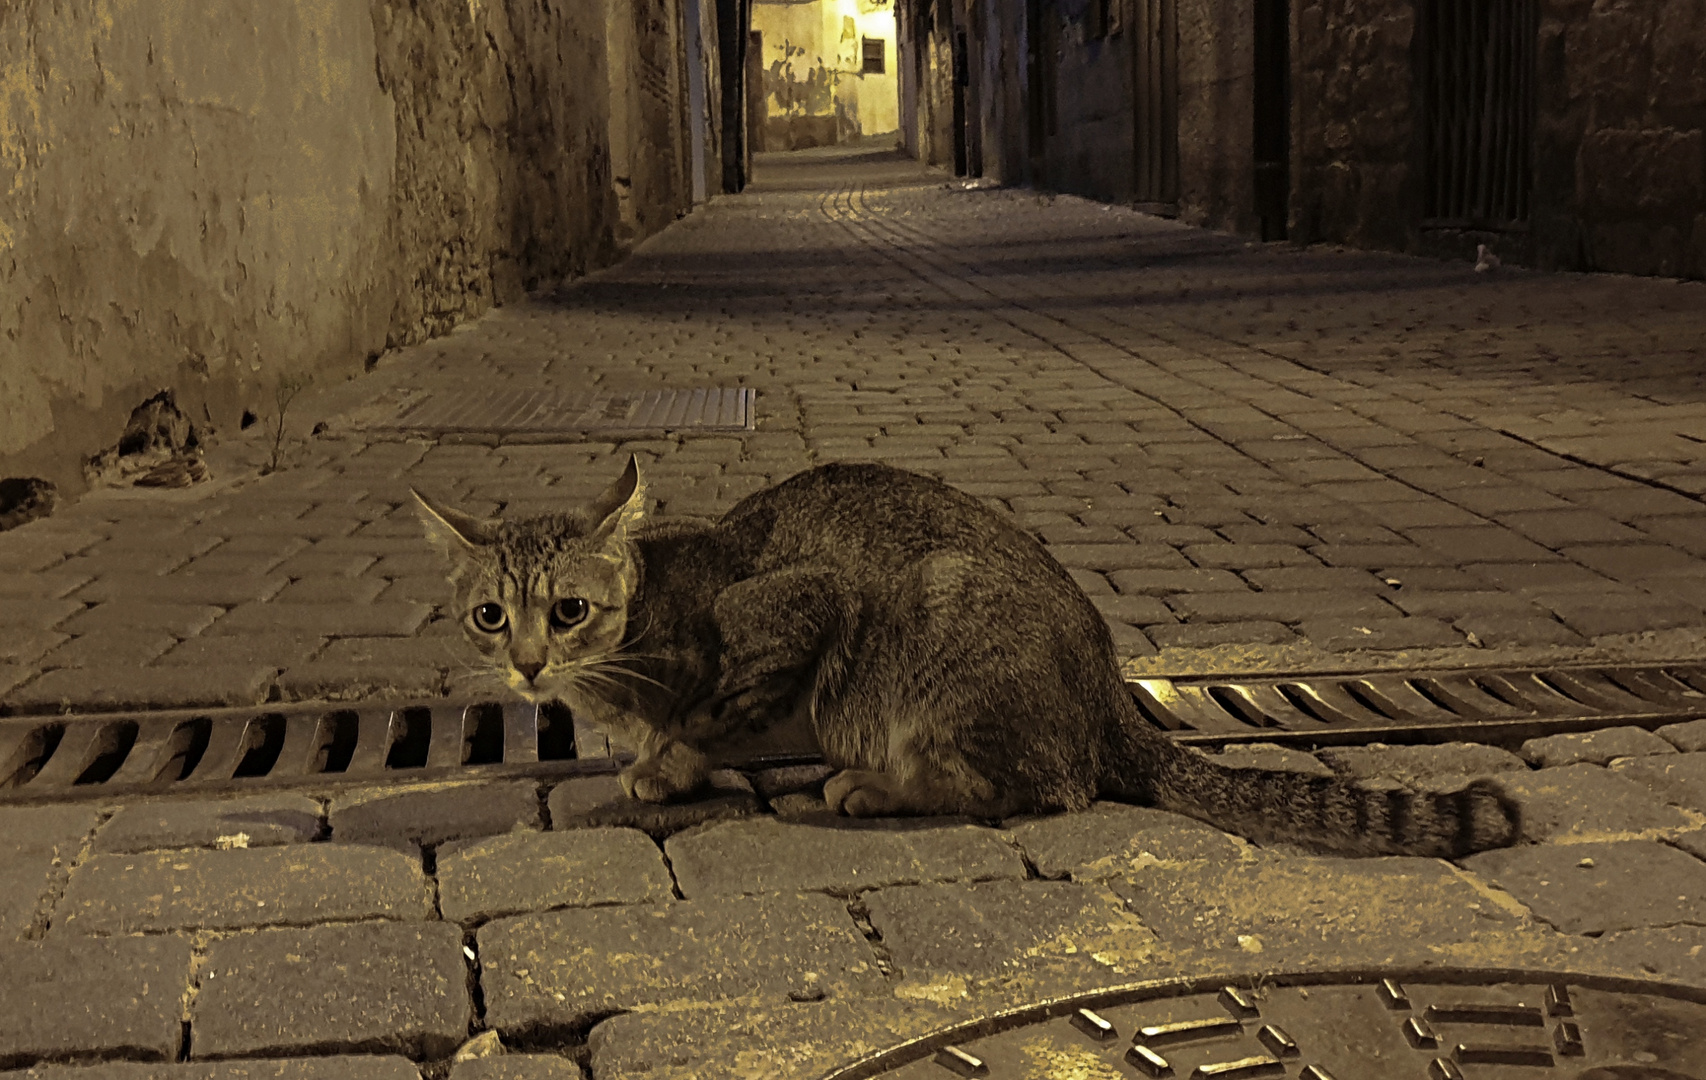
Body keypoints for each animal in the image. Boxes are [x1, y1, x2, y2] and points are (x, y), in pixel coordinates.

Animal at [412, 457, 1521, 859]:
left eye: (567, 610)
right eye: (487, 617)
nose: (524, 668)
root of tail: (1110, 694)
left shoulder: (801, 606)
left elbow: (712, 710)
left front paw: (666, 761)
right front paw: (649, 755)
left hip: (937, 629)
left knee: (1040, 787)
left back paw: (873, 785)